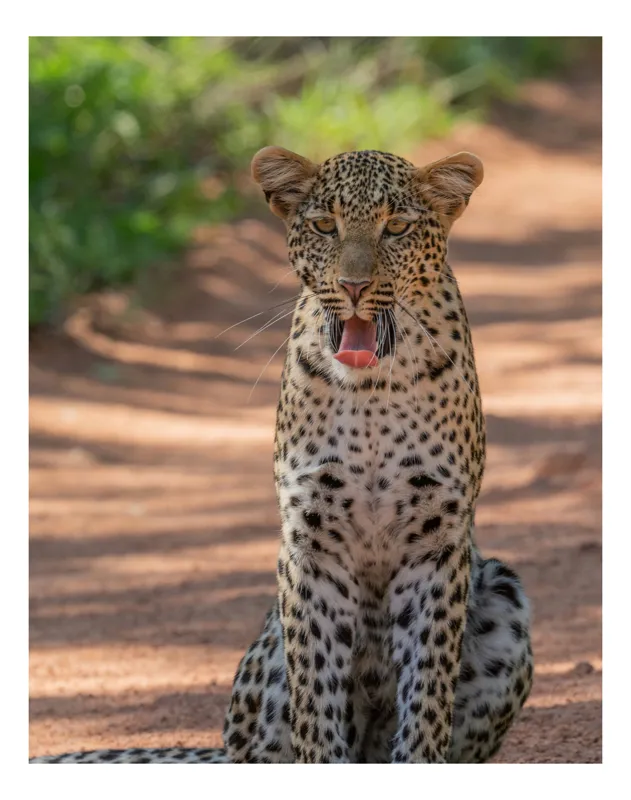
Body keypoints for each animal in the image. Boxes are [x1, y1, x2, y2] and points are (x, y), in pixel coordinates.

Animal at [31, 146, 533, 764]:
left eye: (396, 227)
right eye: (324, 226)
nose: (354, 286)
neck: (372, 392)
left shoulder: (436, 543)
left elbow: (427, 695)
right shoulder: (310, 542)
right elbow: (316, 694)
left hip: (504, 596)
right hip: (266, 663)